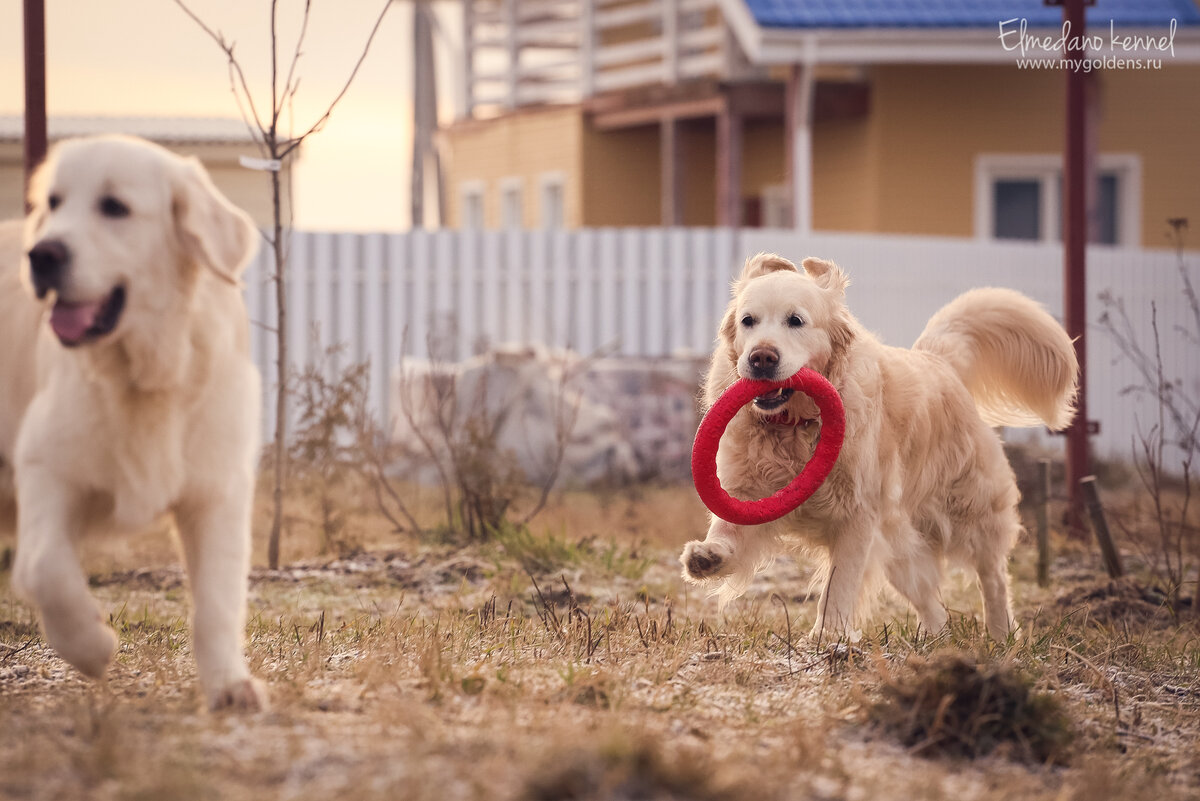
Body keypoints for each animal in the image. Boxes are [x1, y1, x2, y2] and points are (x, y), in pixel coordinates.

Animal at [1, 136, 265, 705]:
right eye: (53, 203)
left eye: (115, 207)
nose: (41, 255)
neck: (143, 376)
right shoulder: (45, 467)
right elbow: (45, 568)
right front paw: (91, 646)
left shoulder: (216, 491)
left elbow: (217, 601)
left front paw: (229, 684)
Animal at [681, 253, 1084, 642]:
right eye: (748, 321)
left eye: (795, 320)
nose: (761, 357)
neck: (794, 425)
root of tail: (940, 360)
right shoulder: (747, 489)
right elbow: (729, 529)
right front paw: (707, 556)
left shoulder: (858, 516)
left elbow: (840, 583)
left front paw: (828, 635)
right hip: (900, 544)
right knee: (930, 600)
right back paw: (935, 639)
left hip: (971, 509)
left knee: (993, 576)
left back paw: (1001, 636)